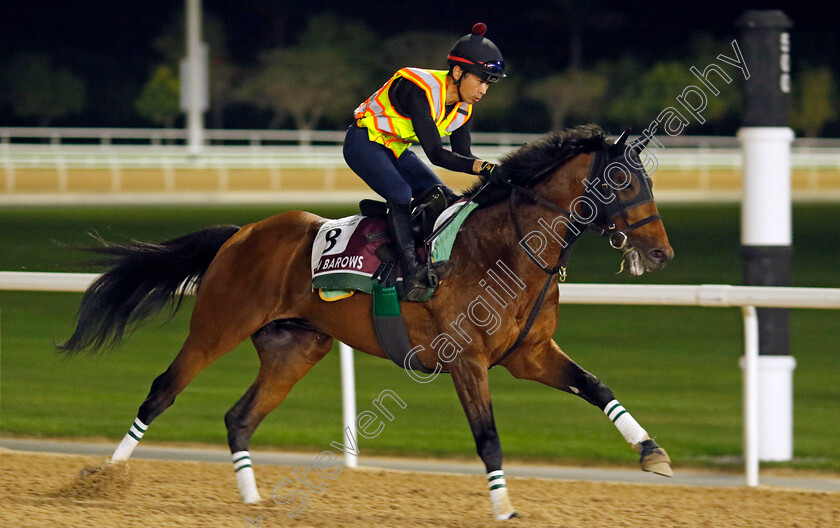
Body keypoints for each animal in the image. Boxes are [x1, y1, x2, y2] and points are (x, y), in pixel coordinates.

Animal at [60, 124, 676, 520]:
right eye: (624, 182)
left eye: (648, 181)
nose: (662, 253)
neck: (506, 248)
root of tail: (240, 233)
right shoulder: (467, 360)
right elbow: (488, 438)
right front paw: (504, 506)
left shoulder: (530, 355)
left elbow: (597, 387)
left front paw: (652, 453)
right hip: (217, 325)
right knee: (162, 391)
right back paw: (103, 478)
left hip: (295, 348)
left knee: (239, 417)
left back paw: (254, 500)